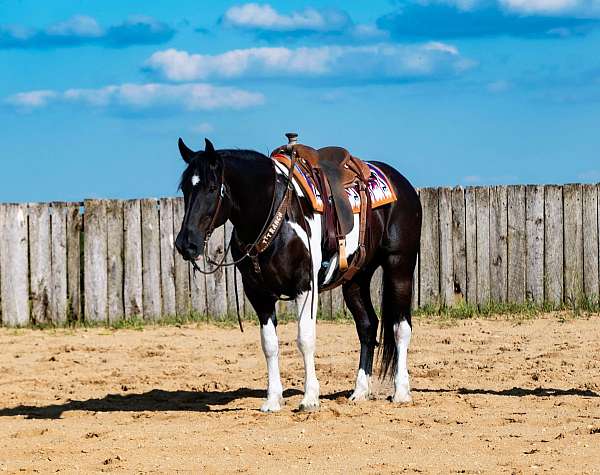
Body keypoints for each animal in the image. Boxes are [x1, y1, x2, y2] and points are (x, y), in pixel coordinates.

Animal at [173, 138, 422, 412]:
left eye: (211, 187)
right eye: (185, 187)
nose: (186, 244)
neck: (273, 213)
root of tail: (401, 183)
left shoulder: (305, 286)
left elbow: (305, 339)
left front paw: (310, 398)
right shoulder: (258, 295)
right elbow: (269, 345)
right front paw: (272, 400)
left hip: (399, 267)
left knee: (401, 328)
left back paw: (401, 392)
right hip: (356, 279)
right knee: (367, 327)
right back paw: (359, 391)